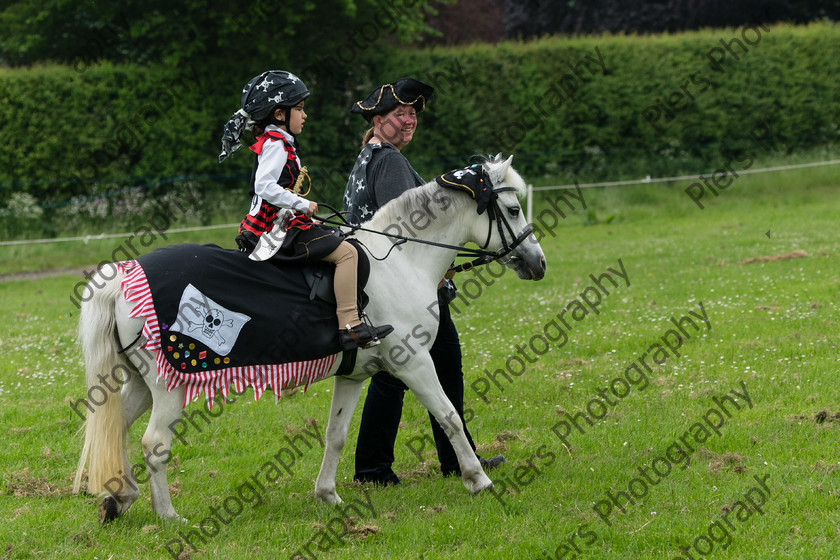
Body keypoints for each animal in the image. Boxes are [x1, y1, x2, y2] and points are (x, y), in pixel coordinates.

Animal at [70, 155, 544, 524]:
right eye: (512, 209)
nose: (538, 262)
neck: (399, 261)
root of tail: (126, 275)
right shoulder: (413, 364)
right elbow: (449, 416)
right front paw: (478, 479)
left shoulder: (354, 376)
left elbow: (336, 434)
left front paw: (327, 495)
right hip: (169, 387)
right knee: (153, 444)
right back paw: (168, 515)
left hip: (139, 383)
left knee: (116, 428)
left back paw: (121, 497)